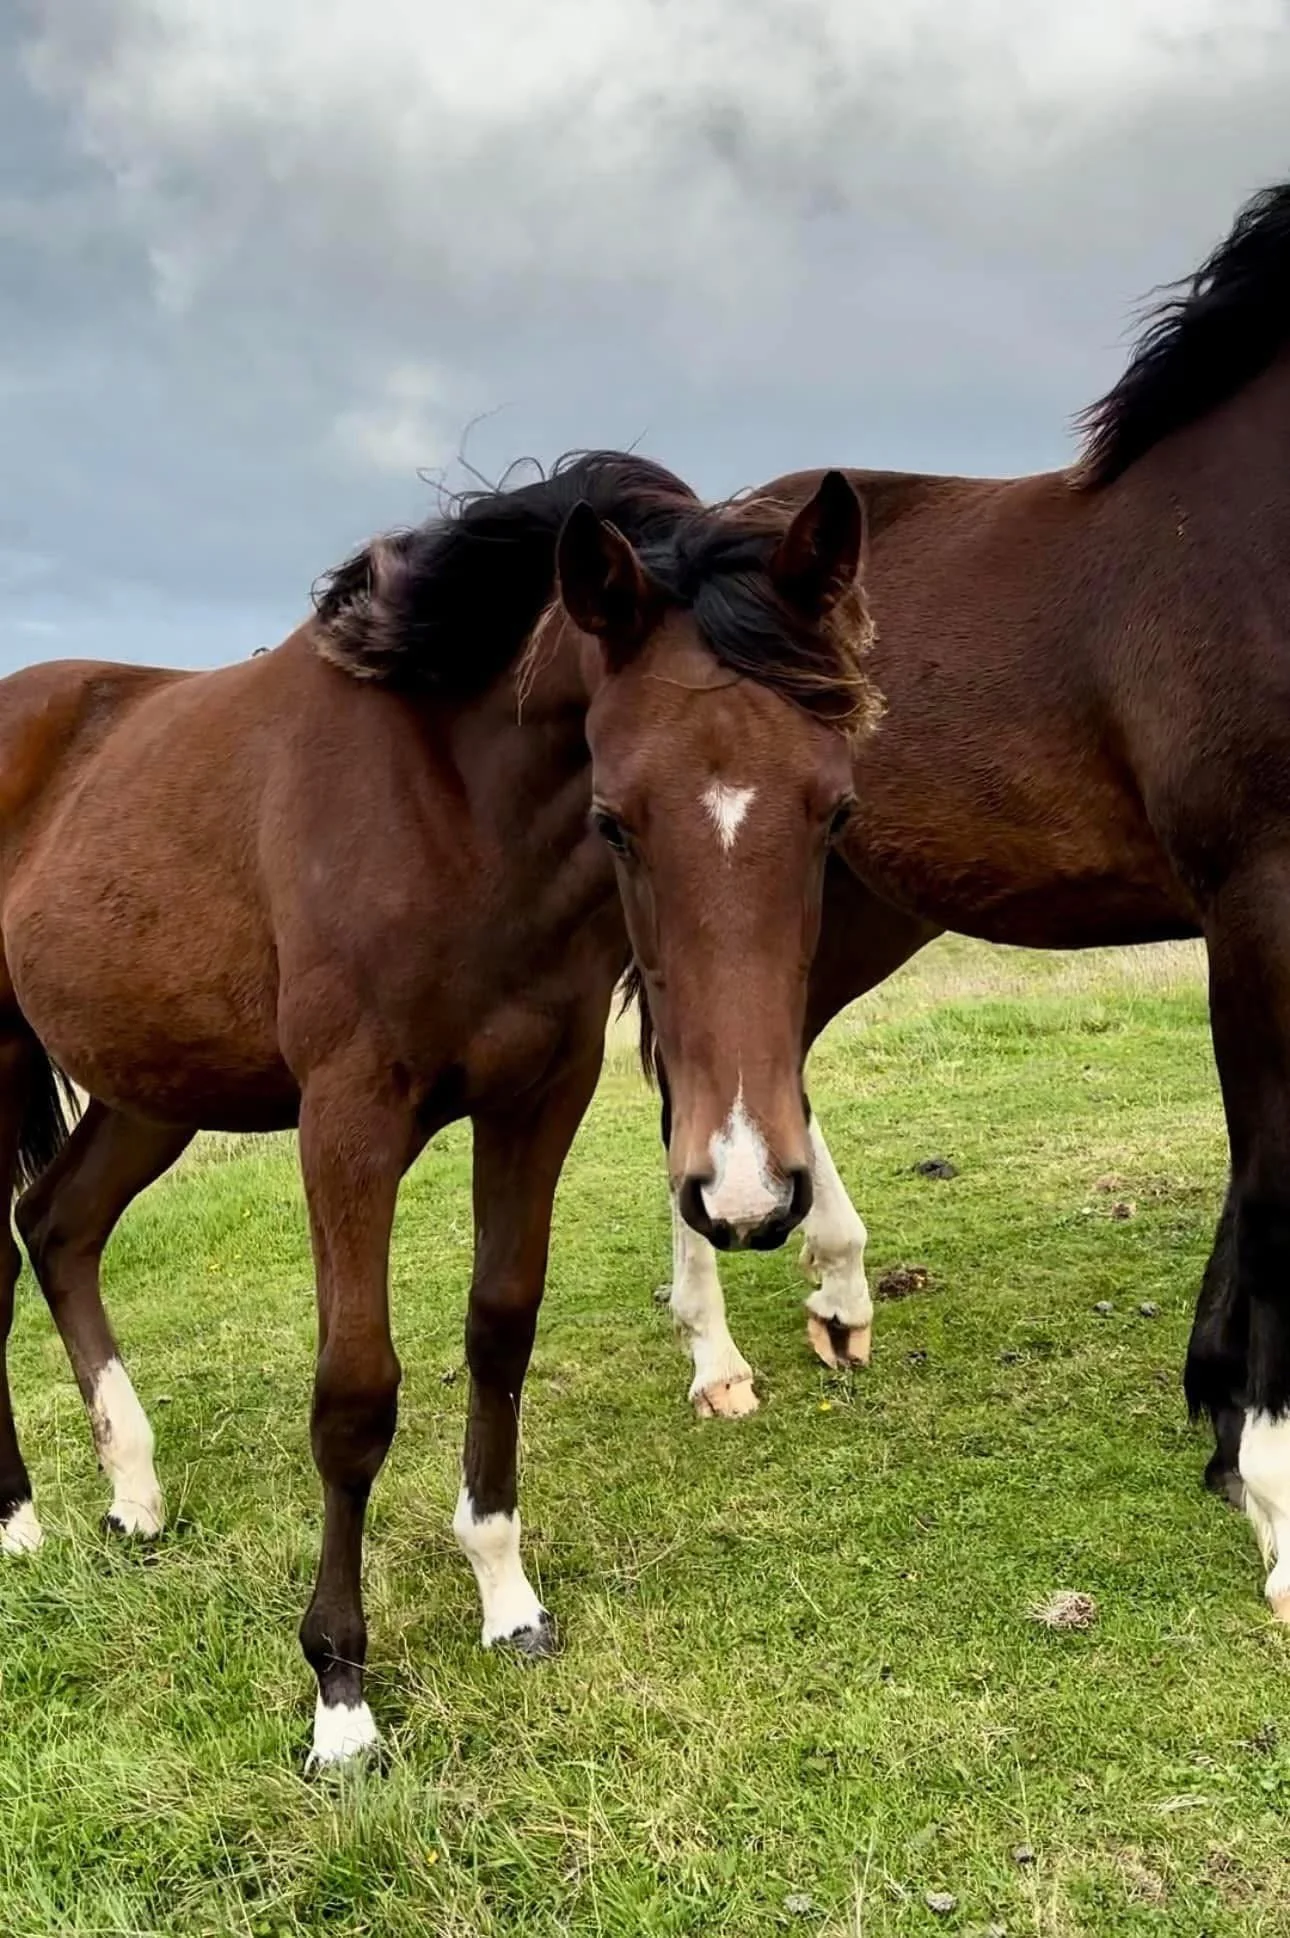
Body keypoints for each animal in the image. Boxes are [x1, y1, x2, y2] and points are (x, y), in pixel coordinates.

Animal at [0, 451, 872, 1763]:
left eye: (833, 810)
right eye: (616, 818)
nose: (750, 1194)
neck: (453, 814)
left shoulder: (539, 1099)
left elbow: (499, 1330)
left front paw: (507, 1599)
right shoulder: (348, 1121)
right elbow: (356, 1393)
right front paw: (340, 1697)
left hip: (153, 1086)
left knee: (59, 1227)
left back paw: (133, 1495)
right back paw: (18, 1519)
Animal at [638, 178, 1290, 1623]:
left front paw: (1221, 1424)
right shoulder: (1260, 897)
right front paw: (1275, 1491)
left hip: (851, 901)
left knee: (769, 1054)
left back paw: (833, 1286)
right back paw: (717, 1352)